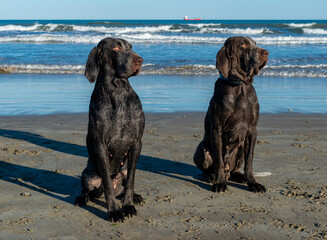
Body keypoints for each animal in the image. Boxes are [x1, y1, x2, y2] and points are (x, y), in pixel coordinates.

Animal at [75, 37, 146, 221]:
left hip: (123, 170)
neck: (118, 91)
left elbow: (131, 181)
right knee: (86, 190)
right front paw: (114, 210)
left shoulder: (137, 142)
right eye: (116, 48)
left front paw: (128, 205)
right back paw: (81, 198)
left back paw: (135, 196)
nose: (140, 60)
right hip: (88, 175)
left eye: (131, 47)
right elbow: (107, 183)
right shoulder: (101, 145)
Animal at [195, 36, 270, 193]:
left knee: (235, 169)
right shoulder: (216, 129)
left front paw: (253, 183)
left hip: (240, 145)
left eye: (254, 43)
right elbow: (219, 160)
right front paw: (219, 183)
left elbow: (249, 161)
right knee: (208, 168)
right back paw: (211, 176)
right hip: (202, 148)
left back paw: (240, 176)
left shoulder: (252, 131)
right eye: (244, 44)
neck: (239, 86)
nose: (266, 52)